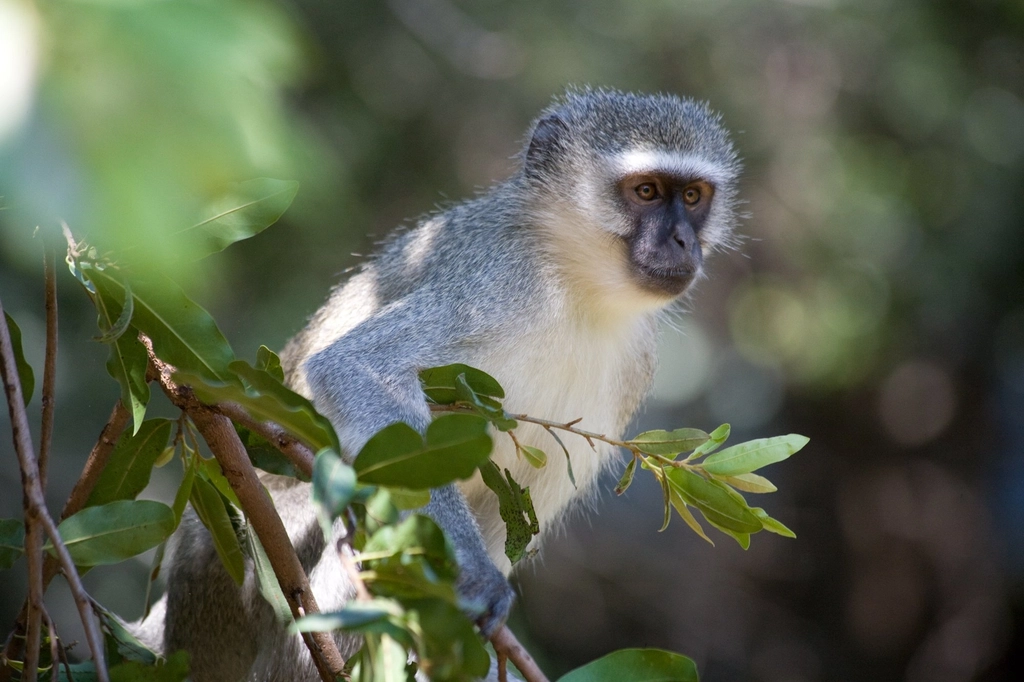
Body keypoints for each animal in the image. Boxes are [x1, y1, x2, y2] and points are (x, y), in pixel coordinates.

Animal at [136, 87, 741, 681]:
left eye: (693, 197)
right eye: (646, 191)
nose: (683, 241)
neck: (579, 287)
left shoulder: (633, 369)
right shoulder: (495, 282)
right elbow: (357, 366)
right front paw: (472, 572)